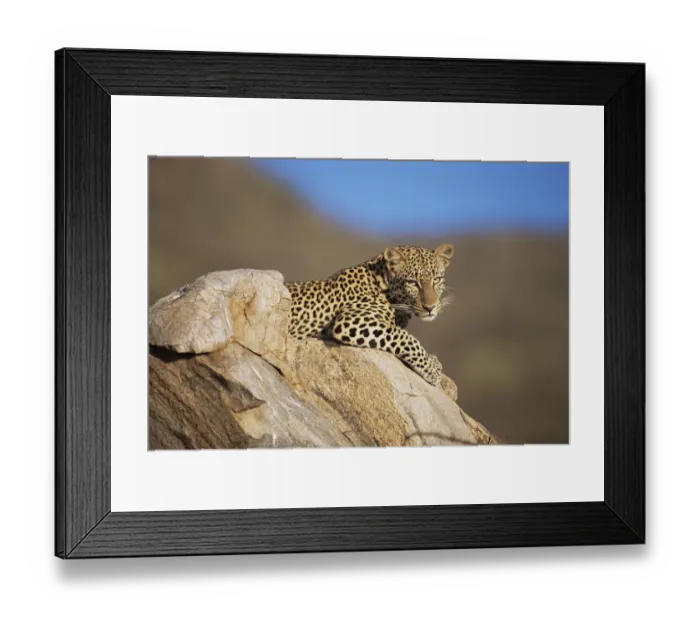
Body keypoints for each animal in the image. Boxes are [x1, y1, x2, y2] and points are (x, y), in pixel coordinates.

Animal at [285, 243, 454, 386]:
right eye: (413, 282)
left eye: (436, 280)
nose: (430, 307)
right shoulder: (350, 321)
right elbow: (405, 337)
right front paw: (432, 369)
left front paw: (433, 360)